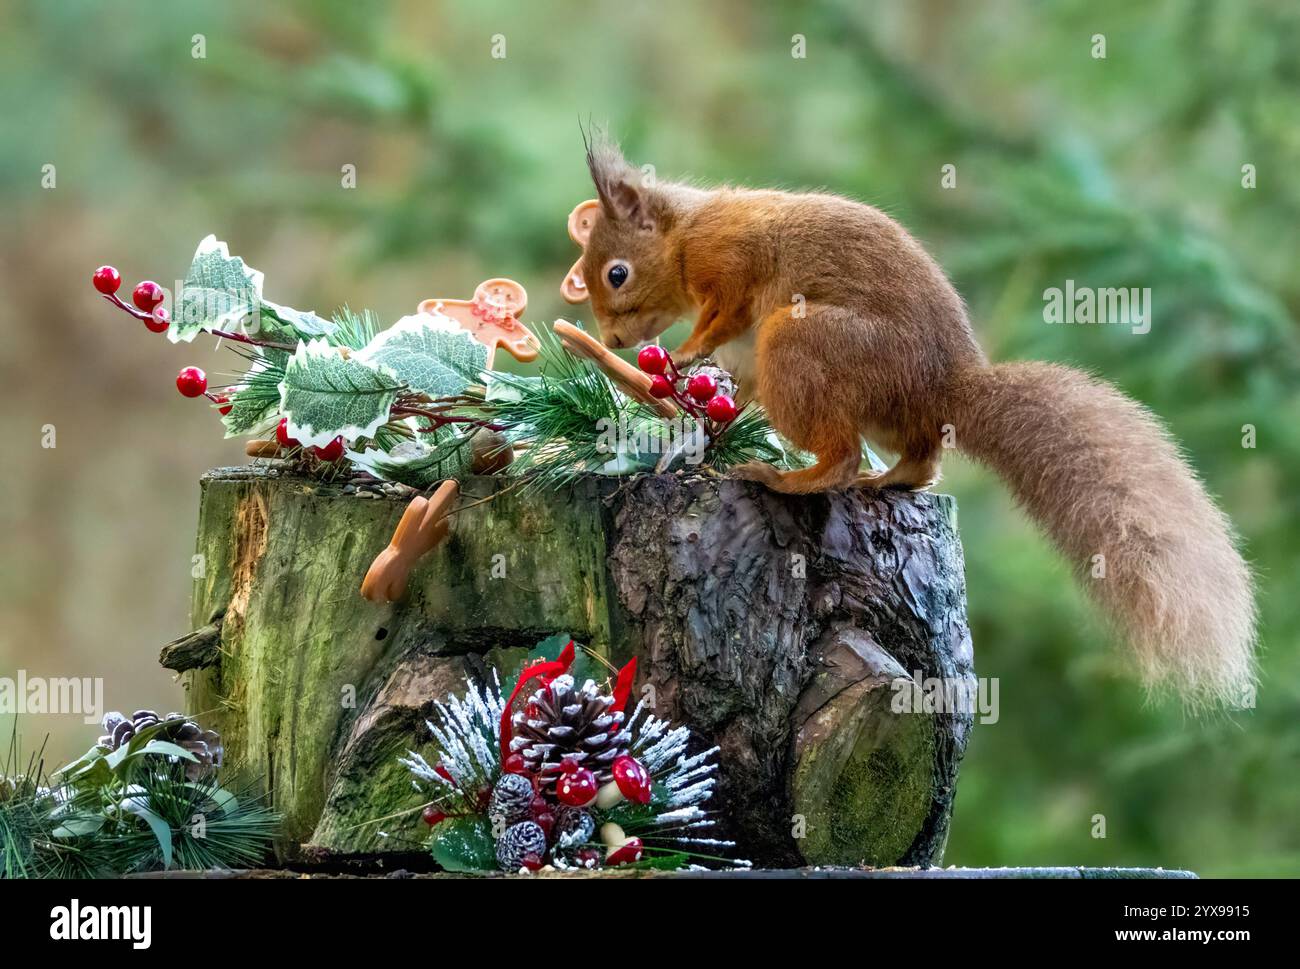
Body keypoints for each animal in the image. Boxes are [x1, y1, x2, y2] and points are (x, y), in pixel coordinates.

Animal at [574, 135, 1253, 707]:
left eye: (616, 272)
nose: (612, 340)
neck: (687, 232)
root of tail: (944, 390)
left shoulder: (733, 265)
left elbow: (724, 314)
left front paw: (688, 352)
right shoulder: (742, 357)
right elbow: (733, 392)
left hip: (801, 342)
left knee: (841, 456)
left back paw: (783, 478)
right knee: (921, 463)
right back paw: (884, 480)